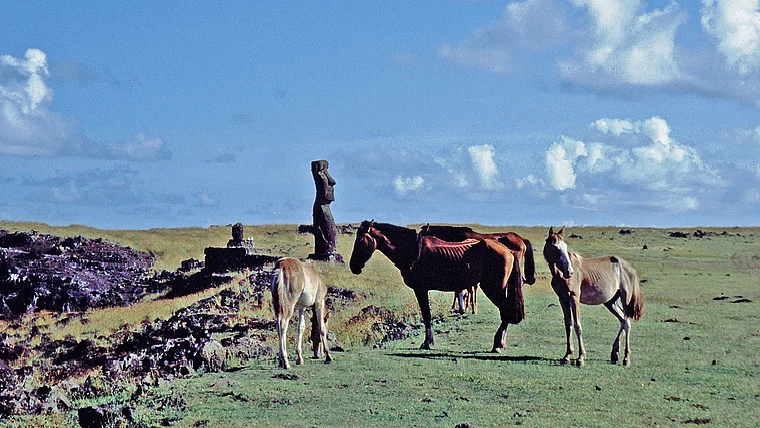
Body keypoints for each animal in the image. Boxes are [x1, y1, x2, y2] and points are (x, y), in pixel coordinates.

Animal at [349, 220, 525, 352]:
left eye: (361, 240)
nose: (353, 266)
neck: (414, 251)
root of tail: (508, 250)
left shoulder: (420, 289)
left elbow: (426, 315)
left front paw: (428, 343)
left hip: (494, 288)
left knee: (505, 312)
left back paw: (498, 344)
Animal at [542, 227, 644, 367]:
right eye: (555, 247)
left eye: (565, 247)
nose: (569, 272)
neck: (560, 275)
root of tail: (630, 268)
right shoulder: (563, 300)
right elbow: (568, 325)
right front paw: (567, 356)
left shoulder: (574, 298)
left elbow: (577, 325)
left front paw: (581, 358)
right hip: (610, 302)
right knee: (623, 321)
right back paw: (614, 354)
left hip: (625, 299)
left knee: (627, 323)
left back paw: (626, 358)